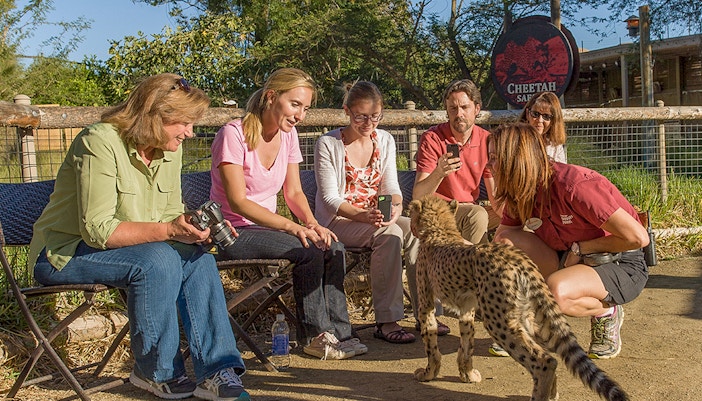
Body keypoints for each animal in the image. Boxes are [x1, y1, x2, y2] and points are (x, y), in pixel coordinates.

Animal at [408, 195, 628, 401]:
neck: (440, 230)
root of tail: (518, 258)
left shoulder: (426, 305)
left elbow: (431, 343)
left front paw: (428, 373)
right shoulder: (467, 310)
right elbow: (466, 344)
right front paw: (467, 374)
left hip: (499, 321)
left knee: (545, 361)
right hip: (528, 317)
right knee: (551, 353)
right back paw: (552, 393)